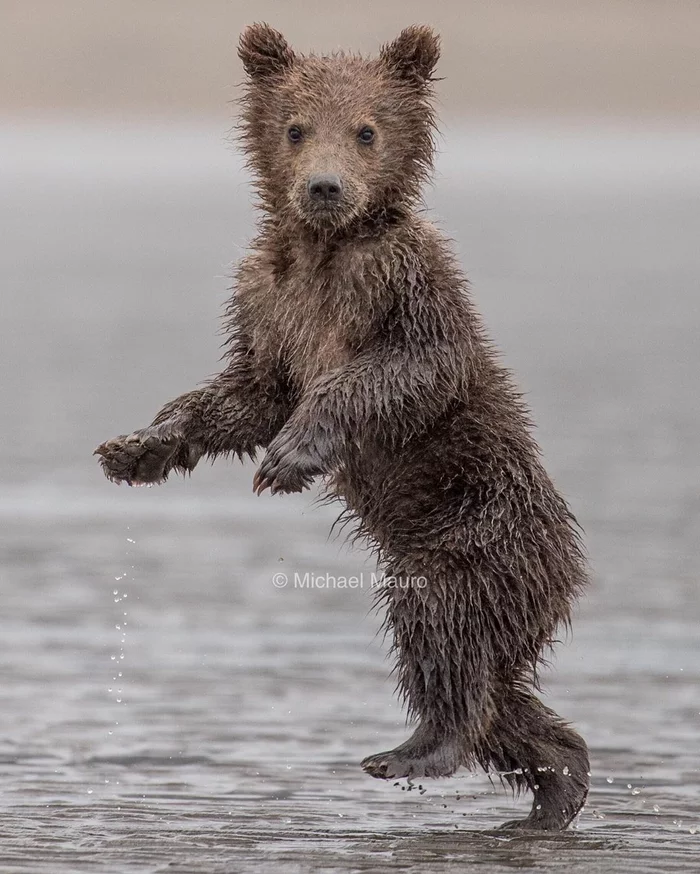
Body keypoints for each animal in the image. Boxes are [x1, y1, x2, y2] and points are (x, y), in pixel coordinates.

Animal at [95, 23, 592, 828]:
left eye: (367, 130)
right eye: (296, 127)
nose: (324, 187)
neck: (326, 248)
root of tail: (569, 570)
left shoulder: (402, 284)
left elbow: (404, 371)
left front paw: (289, 458)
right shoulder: (266, 298)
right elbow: (245, 394)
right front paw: (136, 448)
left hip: (475, 542)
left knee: (443, 636)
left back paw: (418, 750)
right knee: (499, 692)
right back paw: (558, 781)